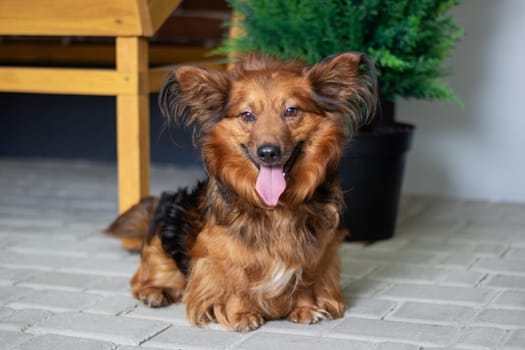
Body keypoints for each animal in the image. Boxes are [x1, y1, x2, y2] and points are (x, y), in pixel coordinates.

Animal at [105, 53, 376, 332]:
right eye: (247, 115)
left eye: (291, 111)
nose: (268, 152)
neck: (276, 208)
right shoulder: (219, 251)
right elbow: (235, 281)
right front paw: (242, 315)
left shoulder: (318, 248)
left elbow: (306, 277)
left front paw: (304, 308)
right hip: (164, 246)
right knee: (142, 278)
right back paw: (154, 293)